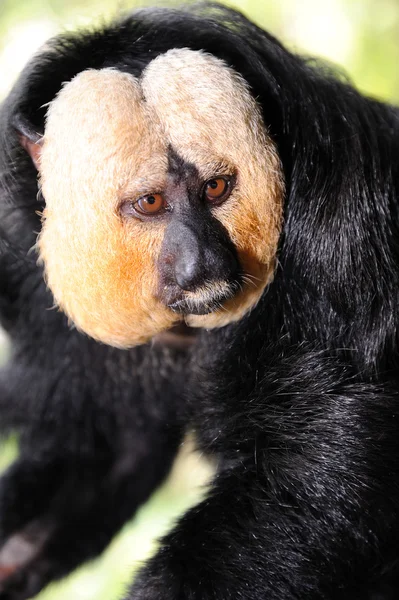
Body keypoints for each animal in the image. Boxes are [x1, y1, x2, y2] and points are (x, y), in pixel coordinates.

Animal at [0, 4, 399, 600]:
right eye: (150, 203)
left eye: (215, 188)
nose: (202, 262)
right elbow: (106, 450)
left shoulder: (341, 240)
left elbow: (323, 461)